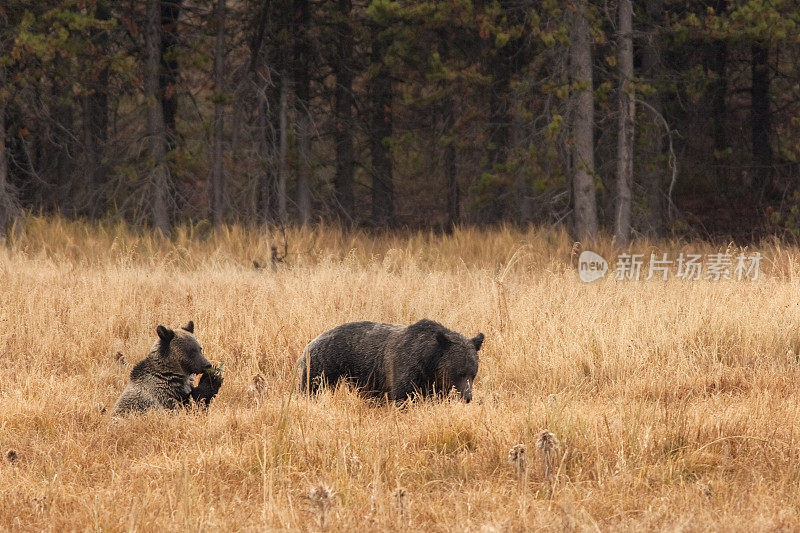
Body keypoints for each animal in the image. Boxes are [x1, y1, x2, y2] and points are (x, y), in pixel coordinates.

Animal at [296, 318, 484, 402]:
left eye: (473, 373)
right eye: (459, 373)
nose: (468, 397)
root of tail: (309, 344)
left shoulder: (434, 384)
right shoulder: (405, 369)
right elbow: (403, 397)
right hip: (325, 366)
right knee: (312, 388)